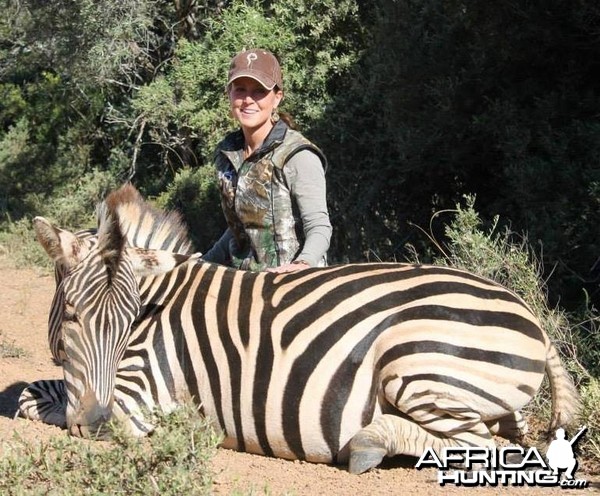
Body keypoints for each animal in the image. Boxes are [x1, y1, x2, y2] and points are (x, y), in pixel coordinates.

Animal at [19, 184, 580, 474]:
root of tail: (529, 313)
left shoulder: (141, 395)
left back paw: (369, 442)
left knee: (486, 446)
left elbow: (36, 399)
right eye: (73, 316)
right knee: (504, 434)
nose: (92, 422)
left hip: (415, 363)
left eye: (129, 322)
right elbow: (35, 392)